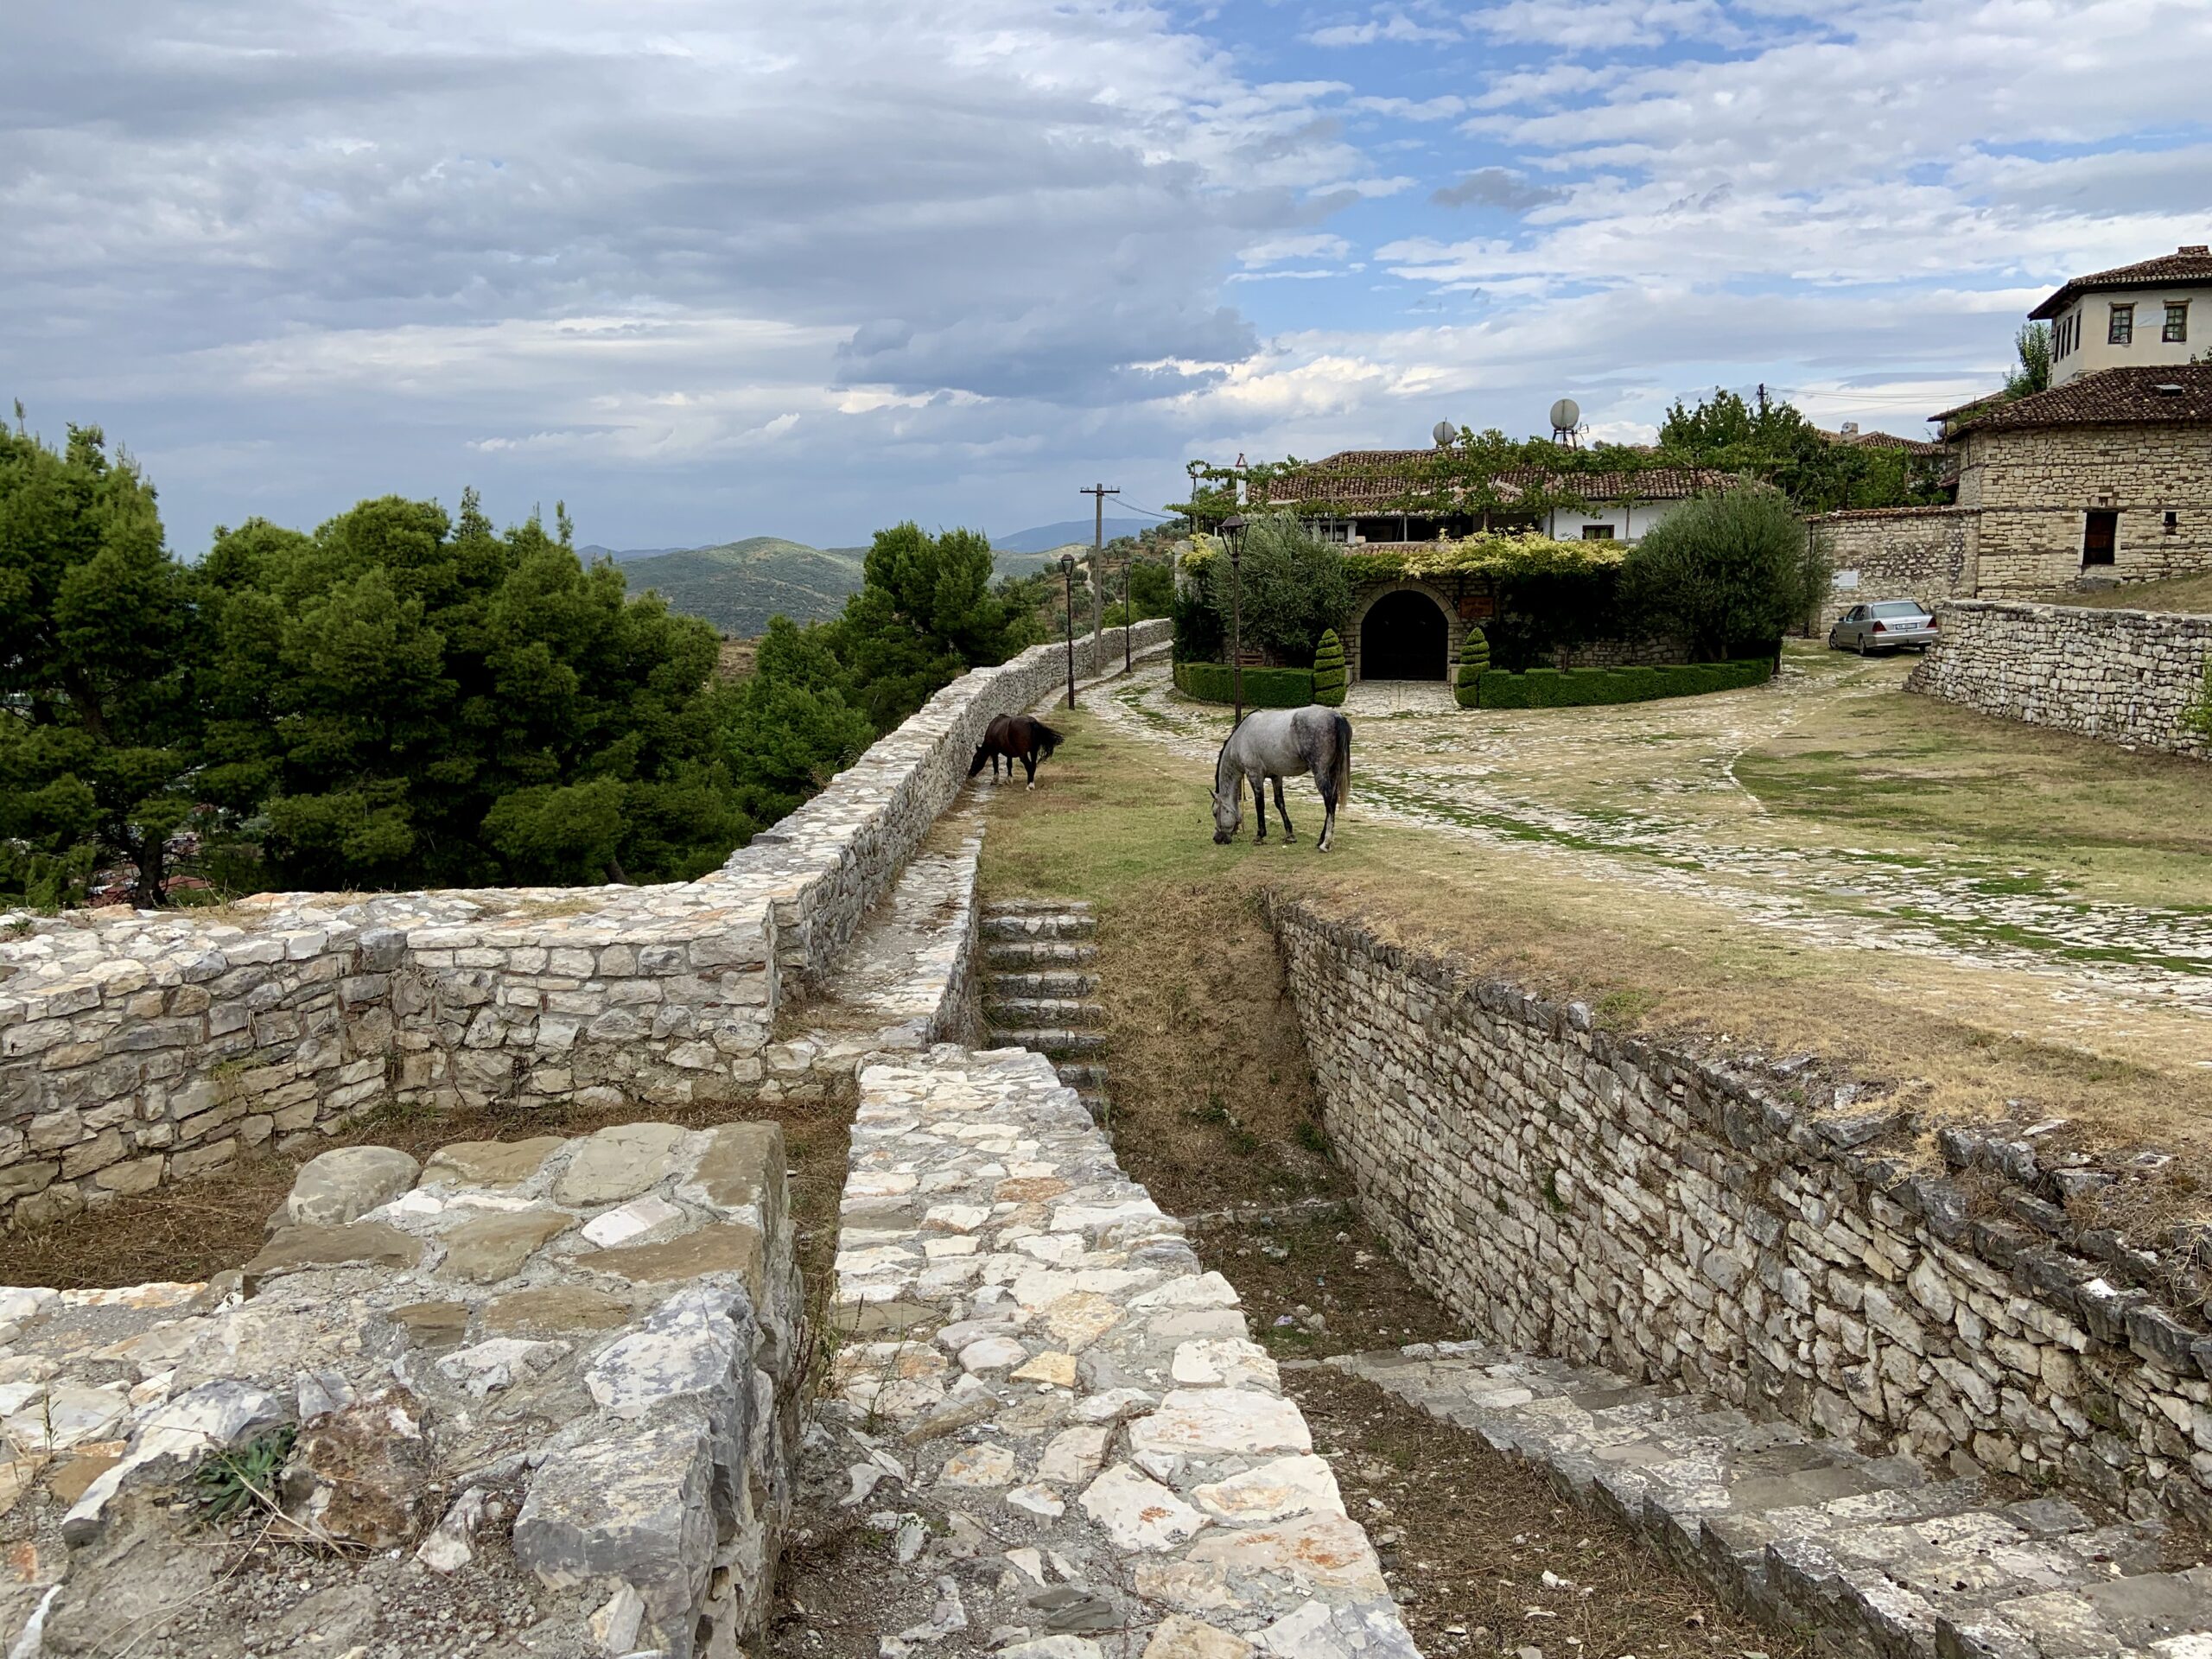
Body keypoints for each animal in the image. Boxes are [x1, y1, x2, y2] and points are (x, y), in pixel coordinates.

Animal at [1211, 703, 1344, 849]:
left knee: (1329, 801)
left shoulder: (1254, 775)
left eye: (1215, 813)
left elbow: (1260, 803)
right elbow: (1279, 802)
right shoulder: (1276, 776)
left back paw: (1326, 843)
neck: (1240, 739)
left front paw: (1260, 835)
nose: (1217, 838)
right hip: (1332, 772)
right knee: (1332, 800)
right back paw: (1321, 839)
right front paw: (1290, 835)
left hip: (1320, 773)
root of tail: (1336, 717)